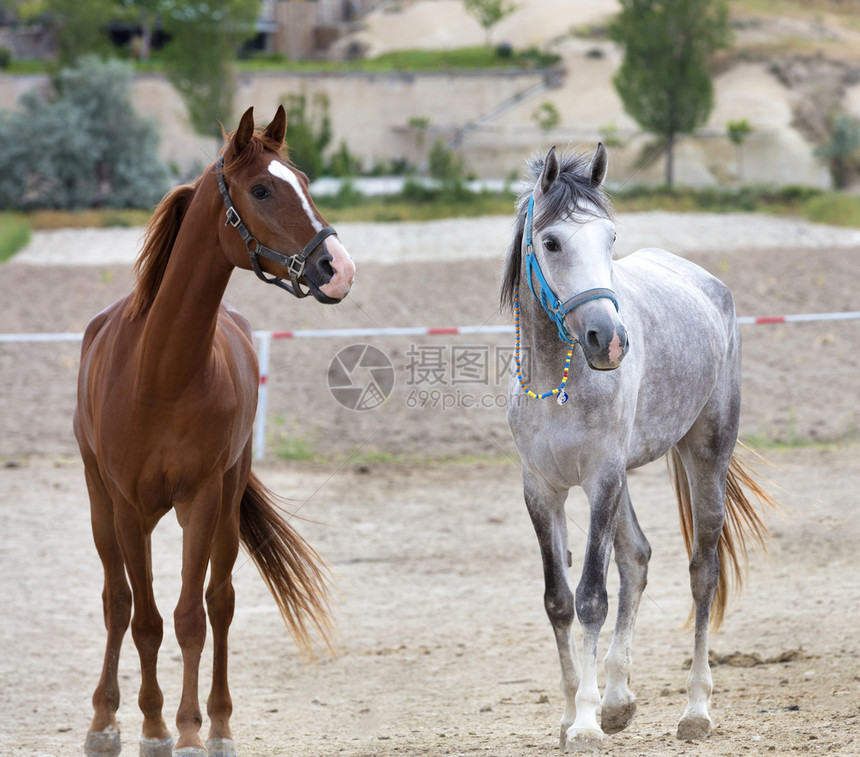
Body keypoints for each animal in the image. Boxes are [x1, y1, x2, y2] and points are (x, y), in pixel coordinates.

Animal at [74, 108, 352, 756]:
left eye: (304, 180)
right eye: (262, 189)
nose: (338, 268)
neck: (161, 372)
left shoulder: (200, 501)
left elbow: (190, 618)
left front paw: (189, 730)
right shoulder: (127, 507)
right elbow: (143, 618)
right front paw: (150, 728)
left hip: (226, 500)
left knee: (218, 602)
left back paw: (220, 722)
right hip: (103, 505)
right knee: (116, 602)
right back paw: (104, 720)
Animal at [500, 145, 776, 748]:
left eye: (610, 239)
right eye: (551, 242)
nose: (609, 340)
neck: (559, 379)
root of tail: (706, 283)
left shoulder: (601, 477)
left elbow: (591, 599)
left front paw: (583, 724)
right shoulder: (542, 489)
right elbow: (559, 601)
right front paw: (572, 715)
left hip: (706, 455)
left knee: (702, 571)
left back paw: (695, 711)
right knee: (638, 558)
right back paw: (618, 701)